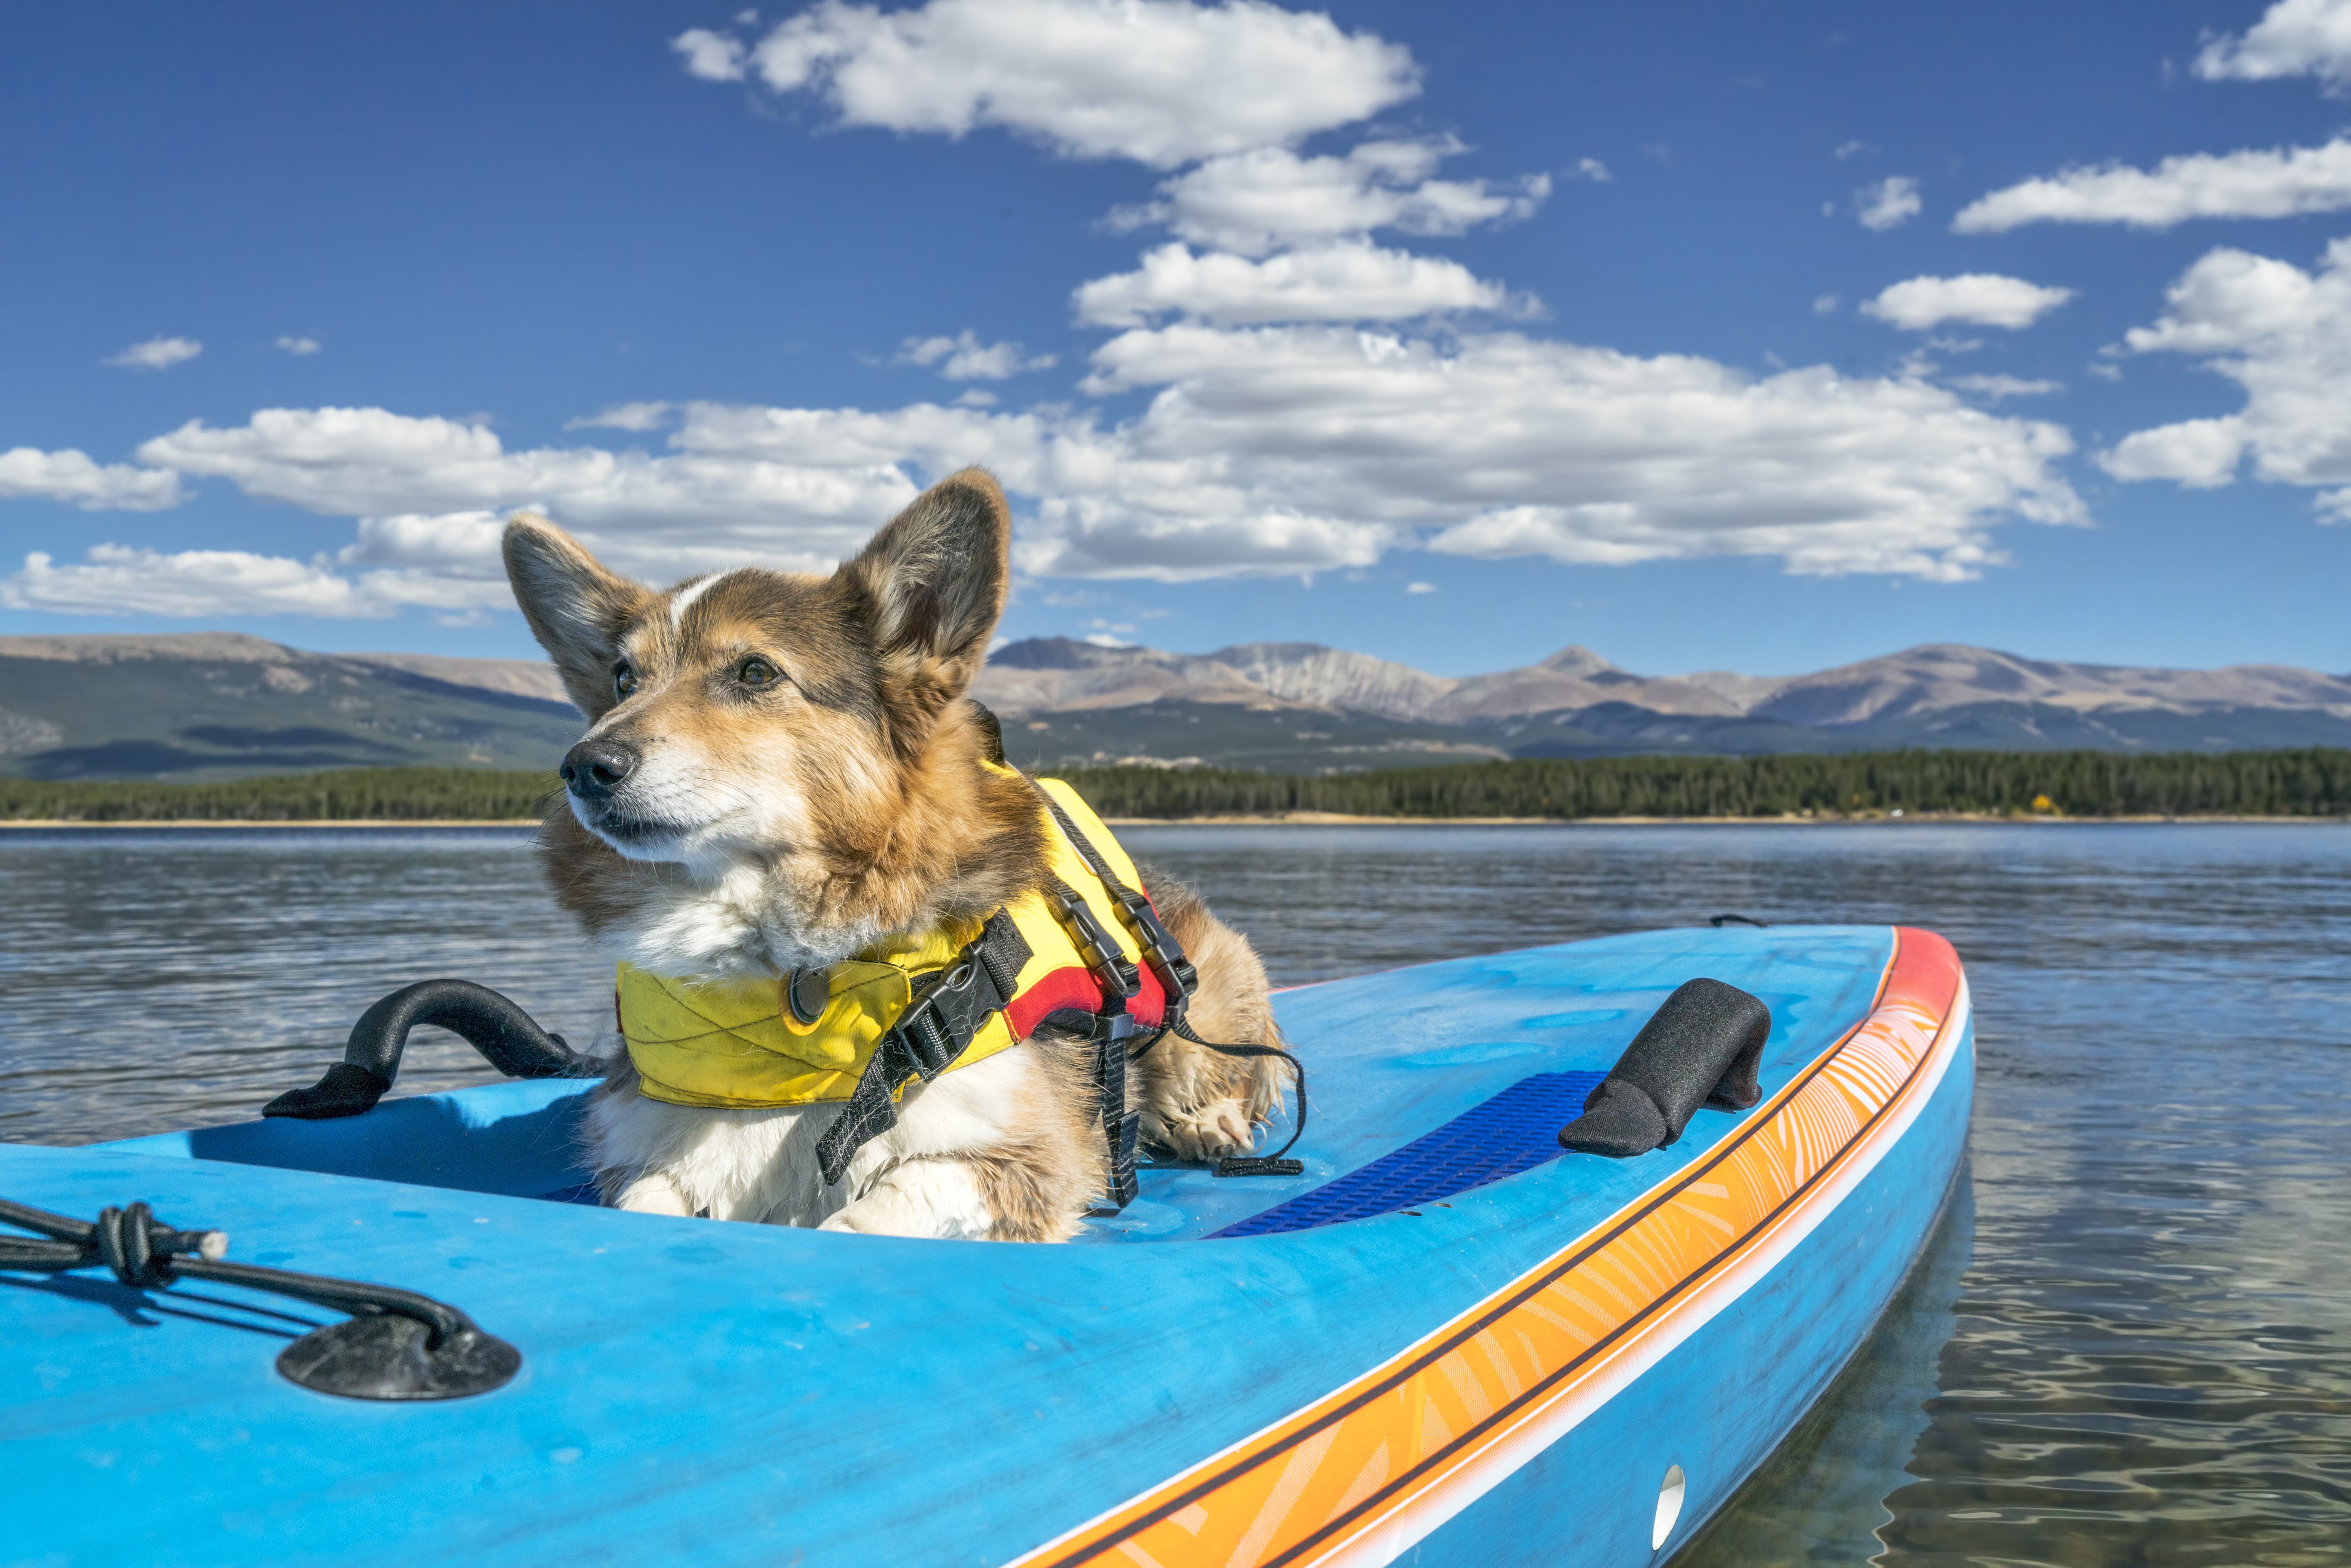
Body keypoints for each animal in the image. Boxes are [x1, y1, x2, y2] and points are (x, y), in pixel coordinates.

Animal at [503, 465, 1297, 1241]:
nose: (585, 766)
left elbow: (875, 1213)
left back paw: (1207, 1123)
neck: (789, 978)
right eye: (623, 679)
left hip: (1203, 1001)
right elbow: (642, 1207)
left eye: (755, 672)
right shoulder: (661, 1150)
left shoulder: (1018, 1154)